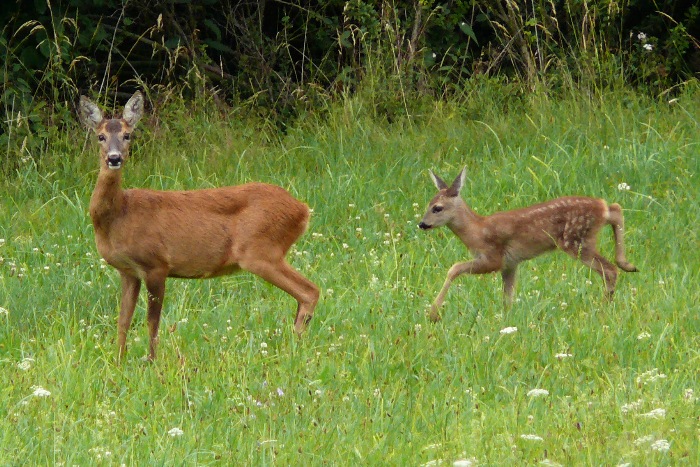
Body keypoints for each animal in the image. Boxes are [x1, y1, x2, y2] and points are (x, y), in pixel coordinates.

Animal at [78, 92, 318, 362]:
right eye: (100, 136)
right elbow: (123, 321)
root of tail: (302, 209)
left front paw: (151, 361)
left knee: (310, 291)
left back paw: (295, 349)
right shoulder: (128, 271)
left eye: (128, 135)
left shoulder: (156, 264)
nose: (114, 158)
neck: (120, 214)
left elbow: (152, 323)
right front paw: (118, 361)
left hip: (261, 250)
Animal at [418, 168, 636, 322]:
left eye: (437, 208)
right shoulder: (510, 264)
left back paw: (603, 309)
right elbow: (507, 296)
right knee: (615, 208)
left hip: (576, 241)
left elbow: (454, 268)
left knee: (609, 270)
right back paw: (628, 264)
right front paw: (507, 319)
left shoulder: (493, 258)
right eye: (428, 204)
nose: (422, 224)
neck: (476, 231)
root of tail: (599, 206)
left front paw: (433, 314)